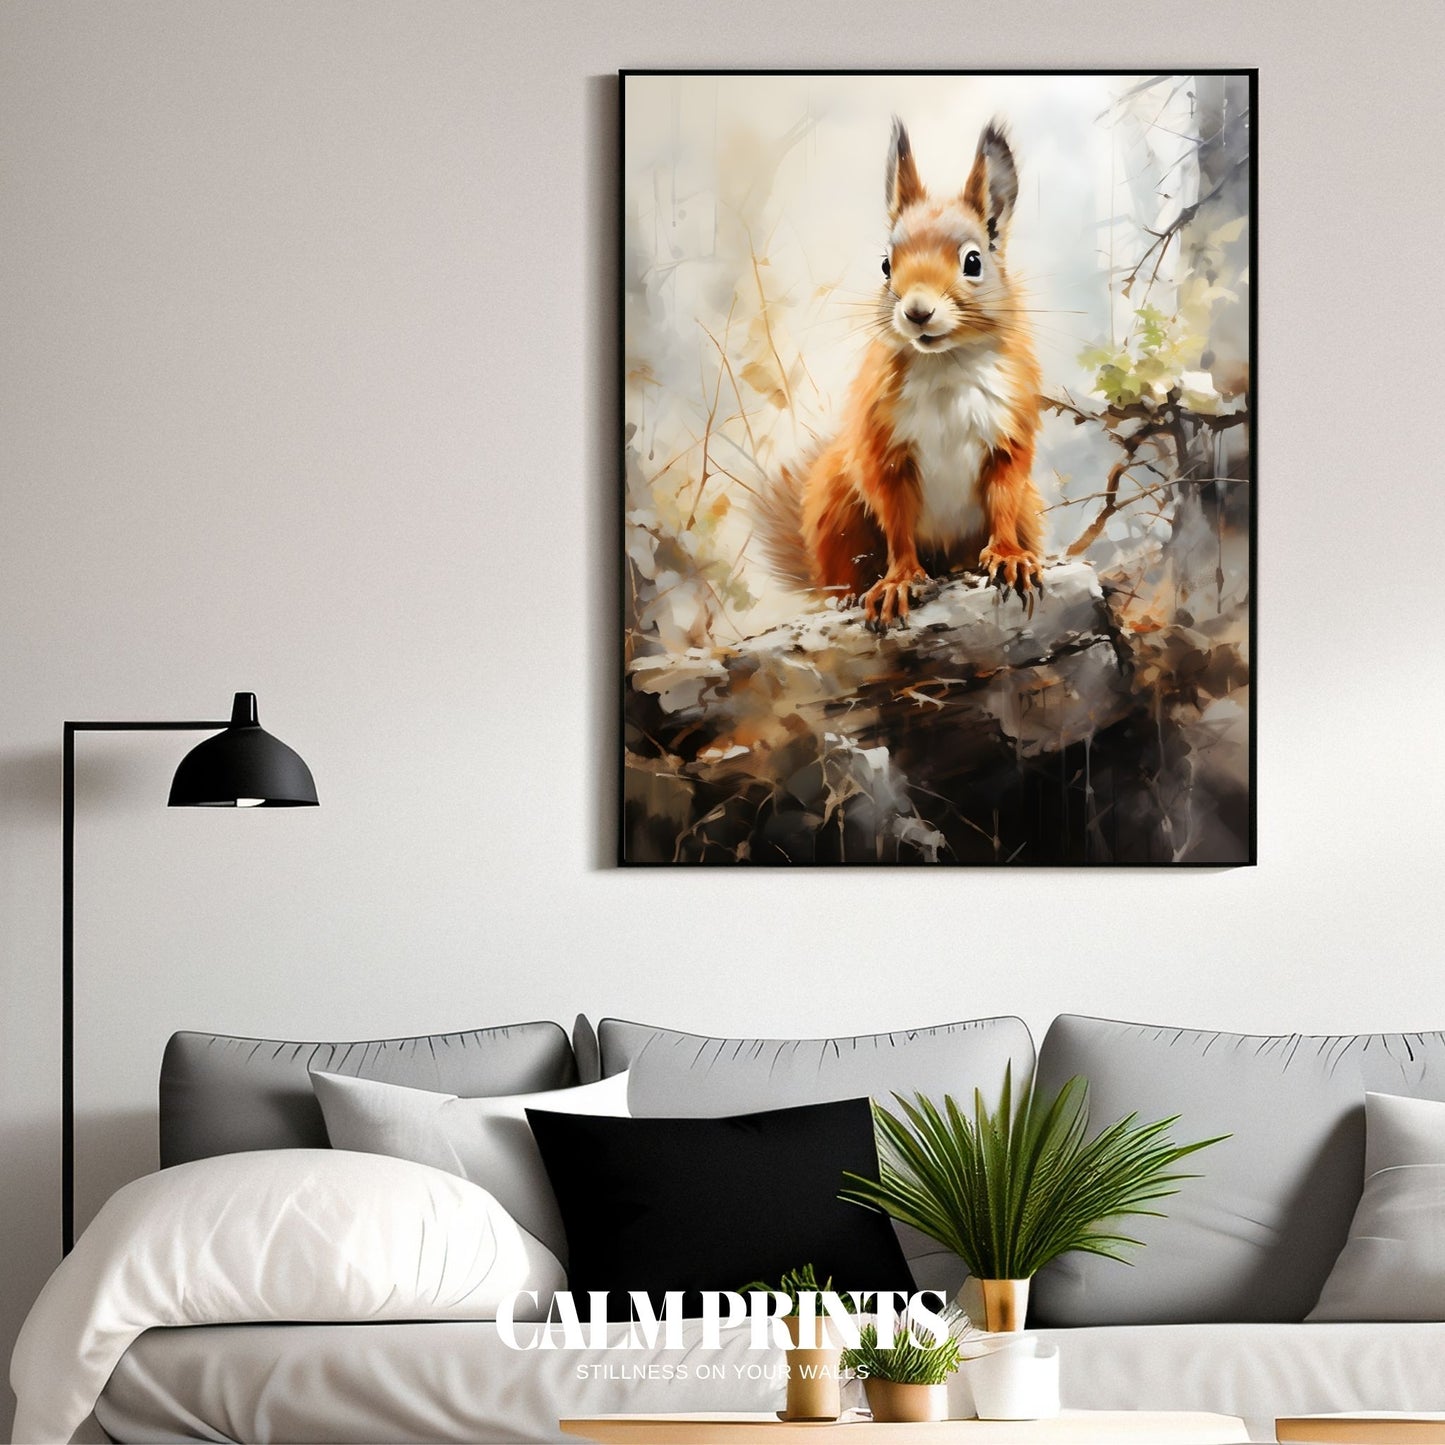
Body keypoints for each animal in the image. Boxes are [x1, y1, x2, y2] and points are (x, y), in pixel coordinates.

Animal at [756, 118, 1046, 629]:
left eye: (974, 262)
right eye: (886, 265)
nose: (917, 311)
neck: (945, 364)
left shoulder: (1008, 435)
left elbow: (1004, 498)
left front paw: (1009, 557)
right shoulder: (884, 450)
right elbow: (896, 521)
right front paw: (899, 581)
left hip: (1028, 511)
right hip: (836, 505)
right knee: (845, 570)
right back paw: (851, 595)